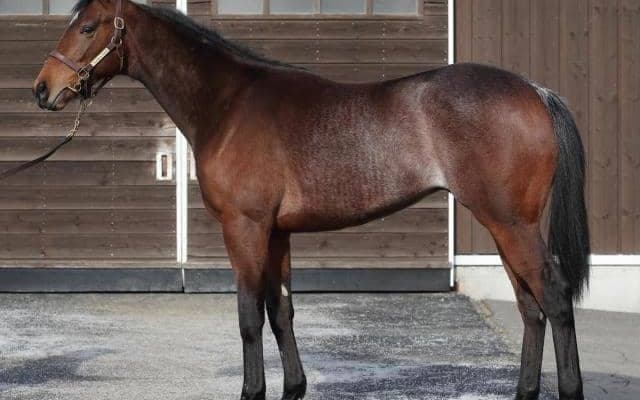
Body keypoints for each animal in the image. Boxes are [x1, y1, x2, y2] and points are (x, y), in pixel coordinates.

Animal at [33, 1, 590, 399]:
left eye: (88, 28)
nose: (43, 89)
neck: (230, 105)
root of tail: (534, 91)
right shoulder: (278, 233)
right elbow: (281, 311)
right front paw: (294, 388)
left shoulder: (245, 228)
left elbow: (249, 316)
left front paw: (252, 391)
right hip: (504, 226)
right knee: (531, 309)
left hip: (511, 225)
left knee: (555, 299)